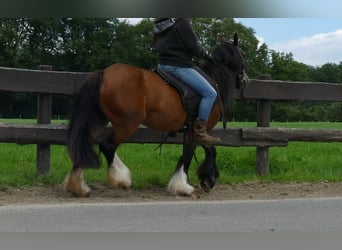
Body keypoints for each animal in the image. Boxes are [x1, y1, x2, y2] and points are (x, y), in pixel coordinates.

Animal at [65, 32, 246, 197]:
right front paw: (185, 186)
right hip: (127, 123)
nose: (244, 80)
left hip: (101, 120)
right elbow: (191, 156)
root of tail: (104, 73)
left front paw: (206, 180)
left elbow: (204, 151)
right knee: (107, 146)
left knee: (86, 144)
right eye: (242, 54)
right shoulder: (199, 129)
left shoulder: (193, 131)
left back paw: (78, 186)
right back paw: (121, 179)